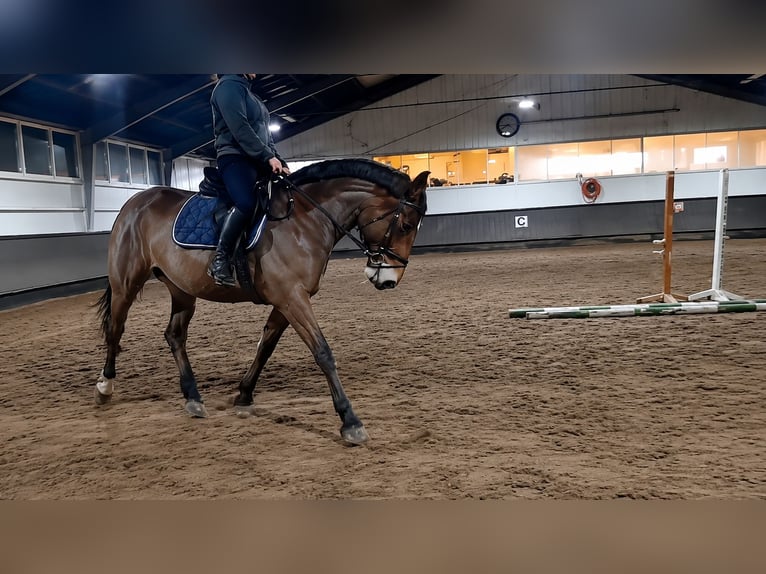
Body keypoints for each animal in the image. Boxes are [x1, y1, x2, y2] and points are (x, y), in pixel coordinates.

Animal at [94, 158, 429, 445]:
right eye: (405, 225)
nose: (388, 280)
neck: (305, 220)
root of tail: (134, 203)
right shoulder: (293, 298)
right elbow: (323, 353)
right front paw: (351, 421)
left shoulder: (286, 301)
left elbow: (265, 347)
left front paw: (244, 395)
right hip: (125, 284)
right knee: (115, 330)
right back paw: (105, 386)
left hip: (181, 289)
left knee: (174, 336)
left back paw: (193, 397)